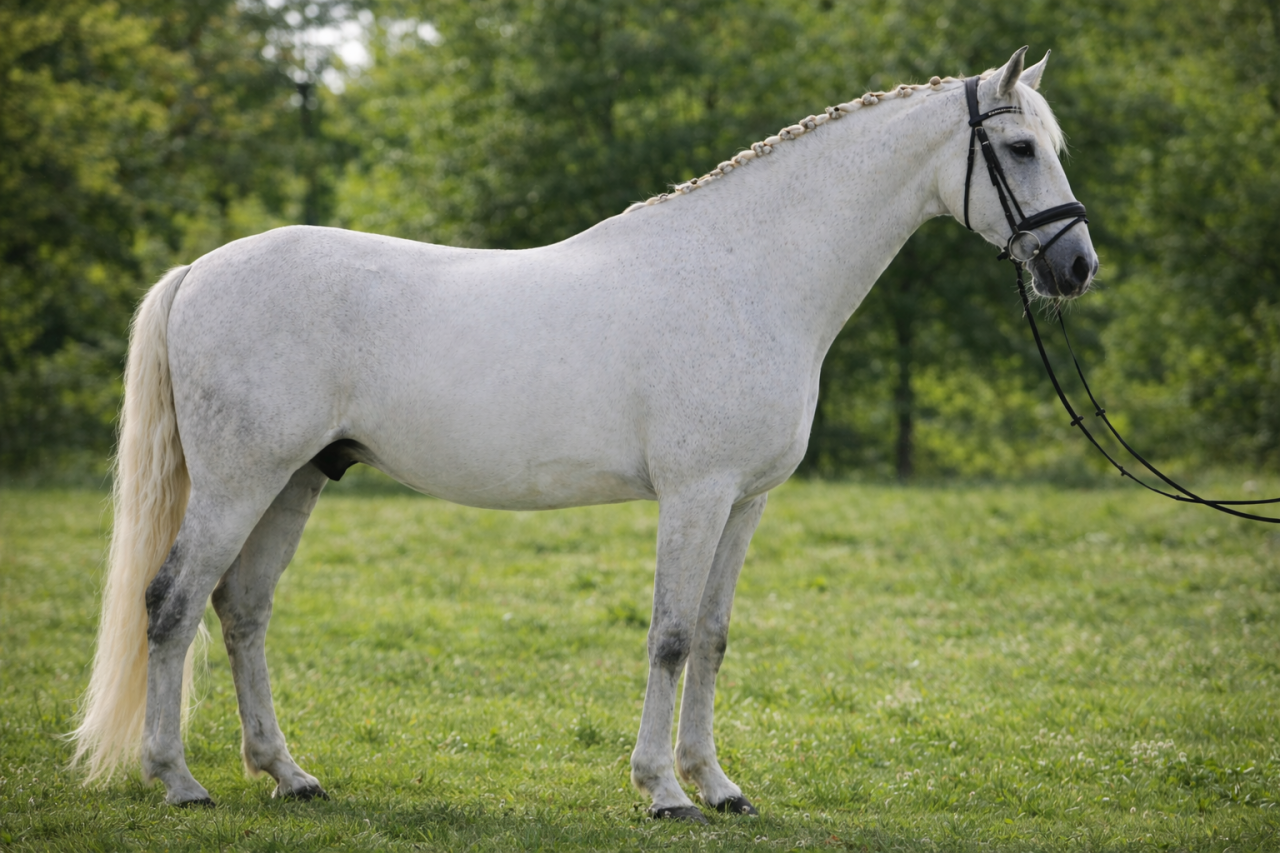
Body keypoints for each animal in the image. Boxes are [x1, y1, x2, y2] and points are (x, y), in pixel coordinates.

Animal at [70, 47, 1097, 820]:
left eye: (1051, 144)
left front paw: (718, 785)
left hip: (298, 479)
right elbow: (671, 636)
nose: (1077, 265)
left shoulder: (746, 501)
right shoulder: (695, 494)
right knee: (171, 602)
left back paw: (288, 774)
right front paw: (663, 793)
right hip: (240, 482)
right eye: (1016, 146)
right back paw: (180, 780)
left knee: (241, 610)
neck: (747, 272)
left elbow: (714, 636)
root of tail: (200, 269)